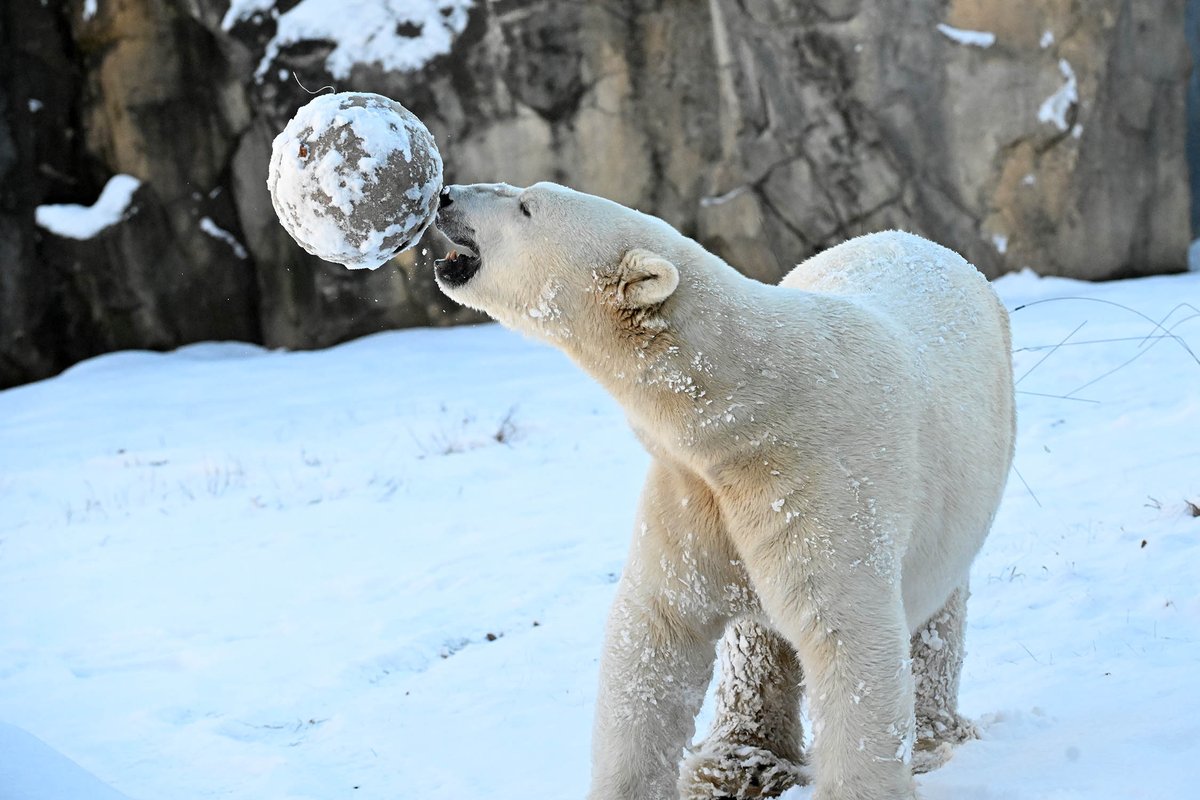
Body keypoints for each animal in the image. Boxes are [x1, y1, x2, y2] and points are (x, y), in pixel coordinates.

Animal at [432, 181, 1015, 800]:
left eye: (527, 205)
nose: (446, 195)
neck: (745, 412)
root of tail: (914, 239)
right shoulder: (693, 488)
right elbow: (658, 627)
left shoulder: (824, 483)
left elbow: (850, 640)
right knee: (756, 641)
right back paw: (740, 761)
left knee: (936, 606)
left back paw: (930, 736)